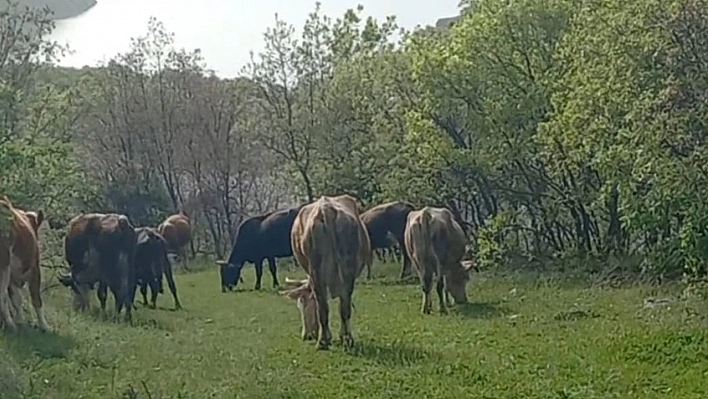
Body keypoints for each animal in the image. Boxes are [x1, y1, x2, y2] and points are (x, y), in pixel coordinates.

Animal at [0, 196, 48, 332]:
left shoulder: (13, 277)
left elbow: (17, 299)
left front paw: (21, 321)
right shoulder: (35, 269)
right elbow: (36, 298)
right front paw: (44, 326)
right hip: (4, 263)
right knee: (2, 295)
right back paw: (11, 325)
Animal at [280, 195, 374, 352]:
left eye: (302, 304)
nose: (306, 336)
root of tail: (326, 209)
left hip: (318, 273)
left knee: (326, 306)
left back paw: (326, 340)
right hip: (344, 271)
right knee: (342, 307)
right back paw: (343, 339)